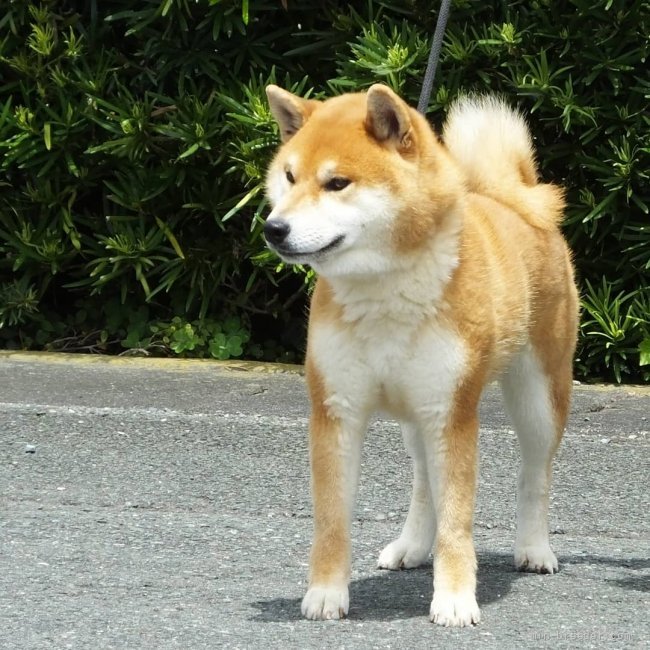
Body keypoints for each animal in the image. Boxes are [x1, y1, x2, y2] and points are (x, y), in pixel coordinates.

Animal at [260, 83, 576, 624]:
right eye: (289, 177)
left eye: (337, 183)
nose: (273, 228)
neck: (384, 292)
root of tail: (513, 199)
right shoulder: (336, 411)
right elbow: (331, 520)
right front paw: (326, 592)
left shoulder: (451, 413)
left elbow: (457, 521)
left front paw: (454, 598)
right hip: (415, 416)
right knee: (424, 481)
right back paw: (411, 545)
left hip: (537, 398)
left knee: (534, 475)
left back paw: (535, 548)